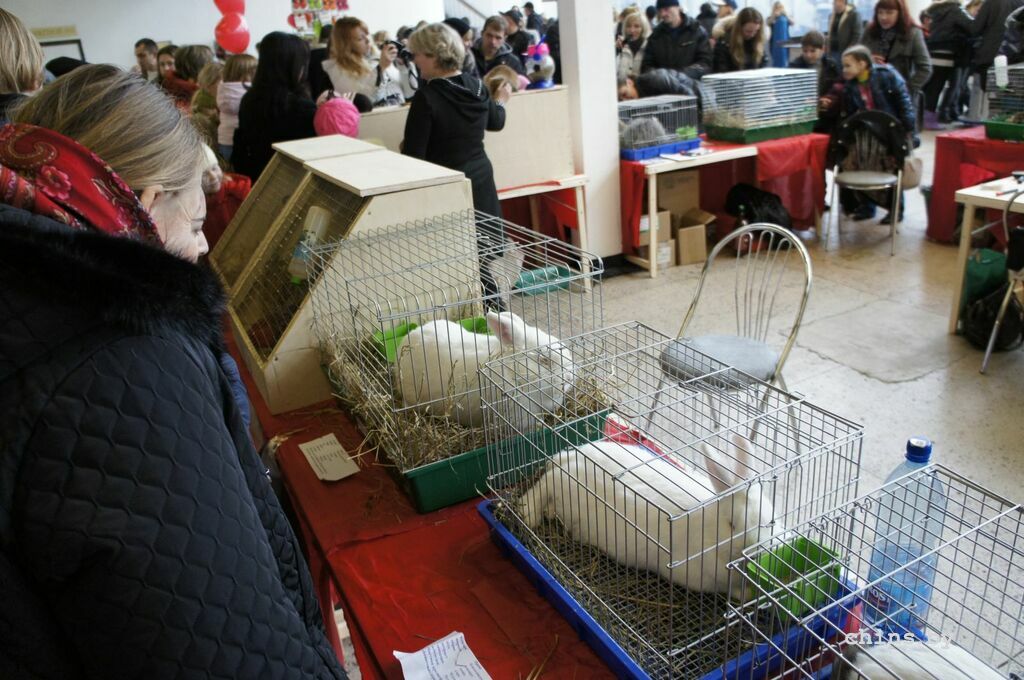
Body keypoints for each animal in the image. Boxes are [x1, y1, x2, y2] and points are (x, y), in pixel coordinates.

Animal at [516, 431, 783, 600]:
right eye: (732, 524)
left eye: (770, 520)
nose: (755, 551)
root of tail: (572, 455)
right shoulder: (696, 577)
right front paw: (747, 595)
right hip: (564, 484)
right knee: (545, 482)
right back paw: (528, 511)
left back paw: (548, 512)